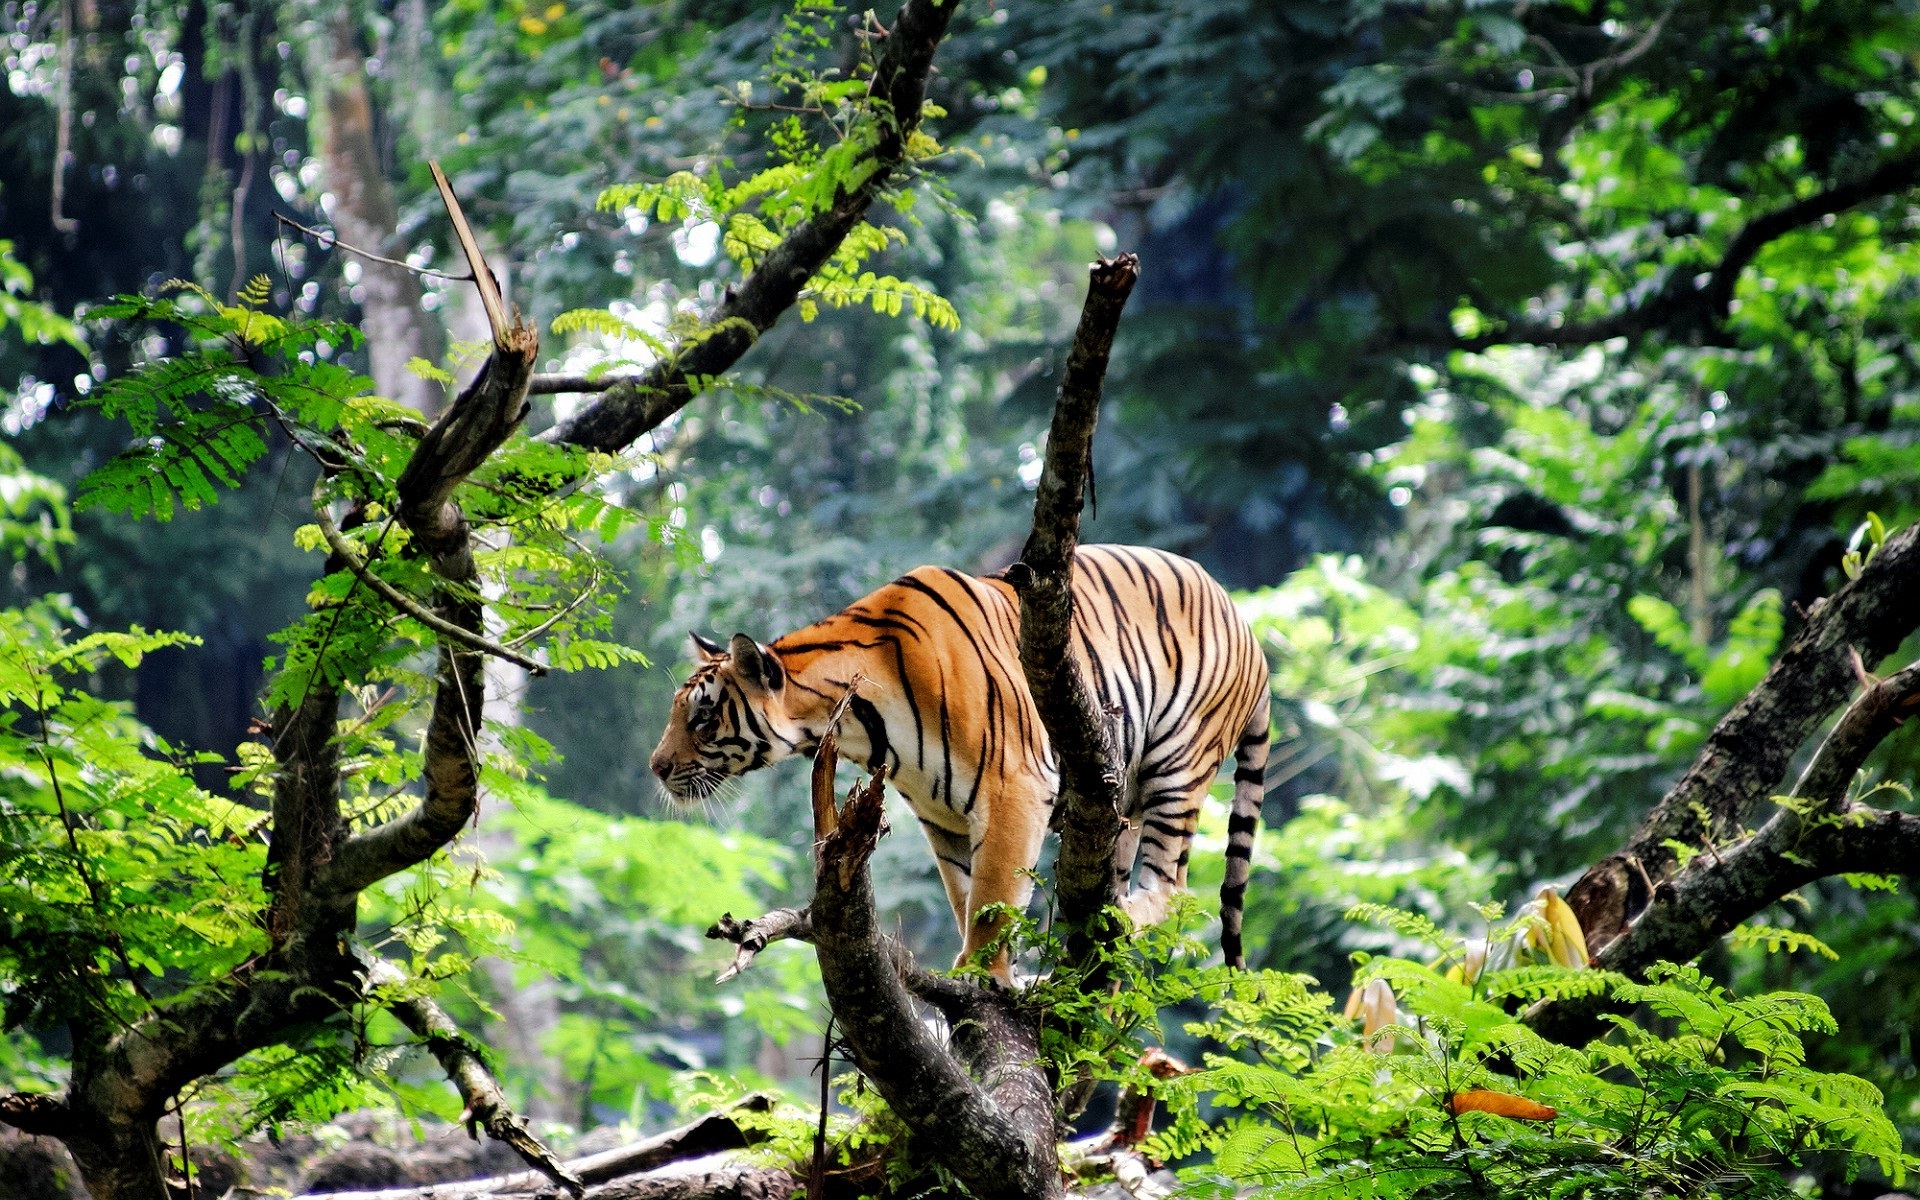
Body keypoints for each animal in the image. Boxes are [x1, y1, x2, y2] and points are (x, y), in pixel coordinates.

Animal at [648, 541, 1274, 975]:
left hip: (1179, 765)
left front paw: (982, 975)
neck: (854, 723)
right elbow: (965, 894)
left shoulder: (1013, 786)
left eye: (702, 717)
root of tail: (1248, 625)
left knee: (1174, 889)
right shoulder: (941, 815)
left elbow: (993, 897)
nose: (656, 767)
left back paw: (1118, 918)